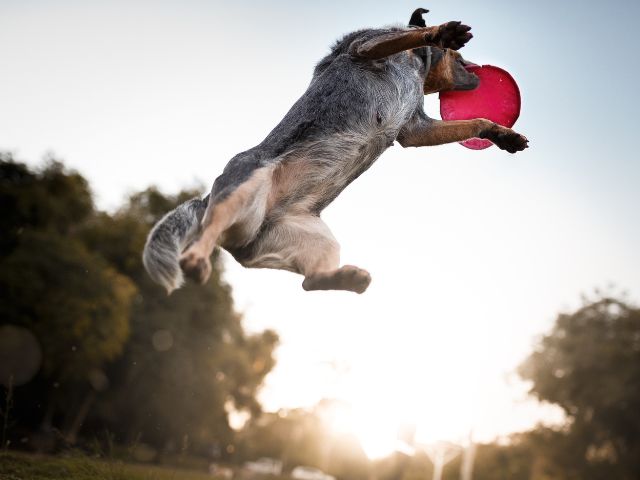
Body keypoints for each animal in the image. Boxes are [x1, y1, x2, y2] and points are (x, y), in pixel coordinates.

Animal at [142, 7, 528, 294]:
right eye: (459, 54)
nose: (478, 70)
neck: (417, 68)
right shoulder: (367, 46)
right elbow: (406, 35)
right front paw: (441, 31)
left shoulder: (416, 129)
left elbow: (476, 120)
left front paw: (503, 135)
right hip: (244, 184)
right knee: (208, 232)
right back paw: (196, 261)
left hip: (318, 241)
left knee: (309, 282)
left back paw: (349, 278)